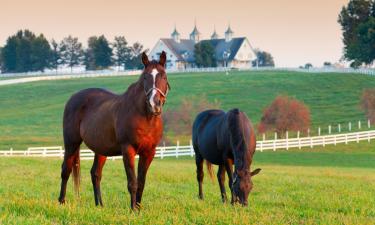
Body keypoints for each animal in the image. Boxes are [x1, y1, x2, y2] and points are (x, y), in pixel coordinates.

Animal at [58, 51, 171, 210]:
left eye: (164, 76)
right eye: (145, 77)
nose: (155, 104)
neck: (146, 117)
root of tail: (73, 98)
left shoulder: (149, 152)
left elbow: (141, 183)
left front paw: (138, 208)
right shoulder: (128, 150)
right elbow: (132, 183)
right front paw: (133, 210)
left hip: (100, 149)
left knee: (95, 174)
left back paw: (99, 205)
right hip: (71, 143)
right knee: (66, 170)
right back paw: (61, 201)